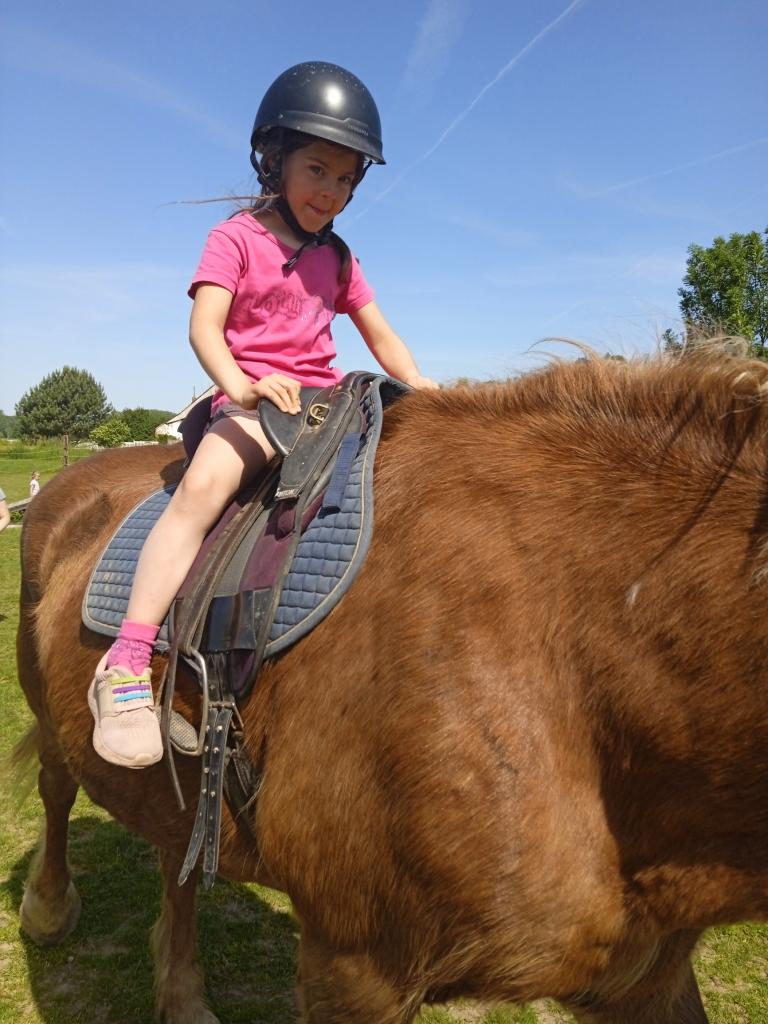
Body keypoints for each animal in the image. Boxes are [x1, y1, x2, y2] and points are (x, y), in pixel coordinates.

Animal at [14, 353, 768, 1024]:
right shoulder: (354, 966)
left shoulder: (640, 977)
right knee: (55, 784)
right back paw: (49, 907)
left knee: (176, 843)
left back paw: (182, 996)